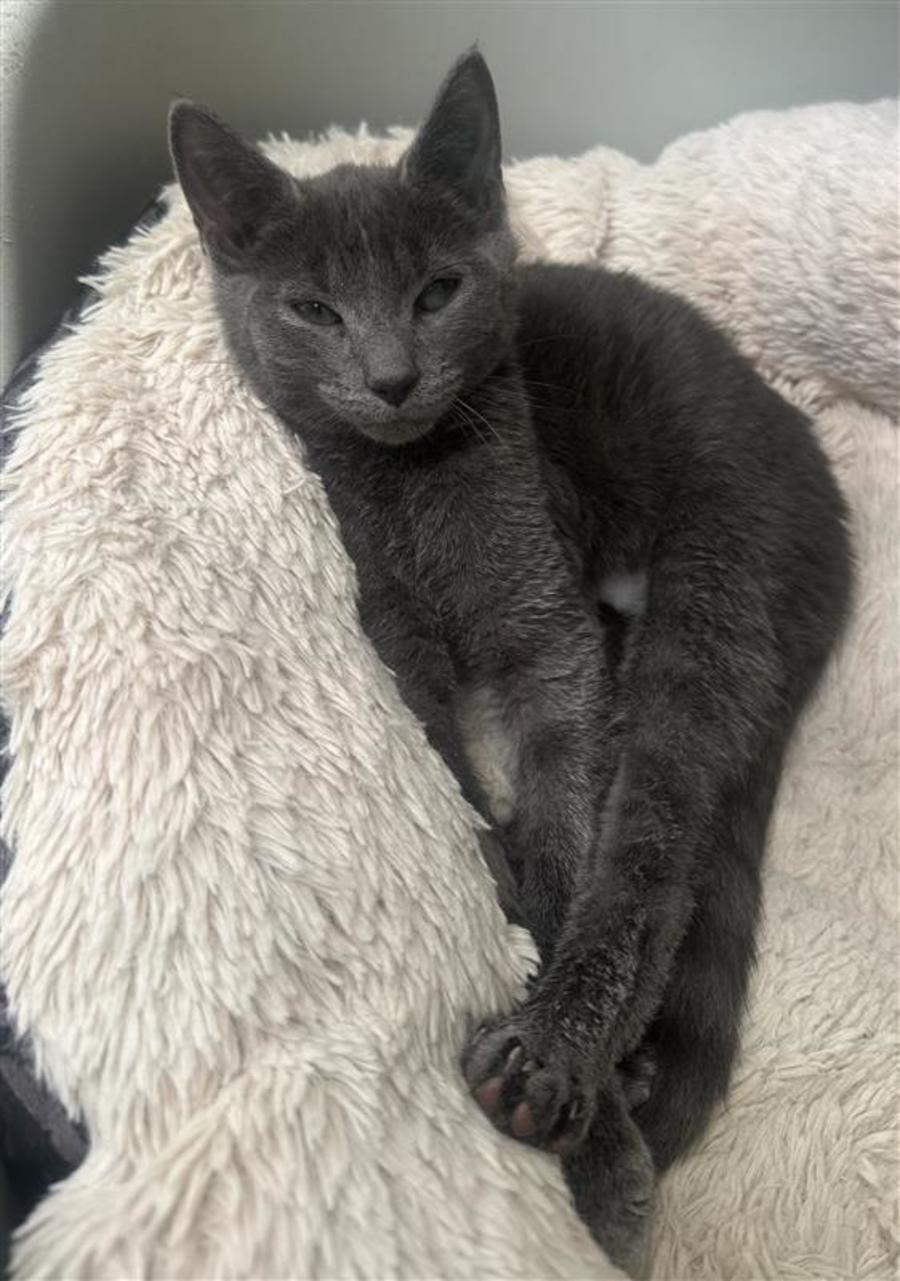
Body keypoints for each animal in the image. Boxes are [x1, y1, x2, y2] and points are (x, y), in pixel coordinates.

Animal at [169, 51, 852, 1274]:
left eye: (438, 292)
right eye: (313, 308)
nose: (392, 377)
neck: (417, 485)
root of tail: (829, 516)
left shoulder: (553, 631)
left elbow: (568, 817)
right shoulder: (387, 633)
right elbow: (445, 773)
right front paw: (496, 872)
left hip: (718, 580)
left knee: (658, 857)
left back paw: (564, 1069)